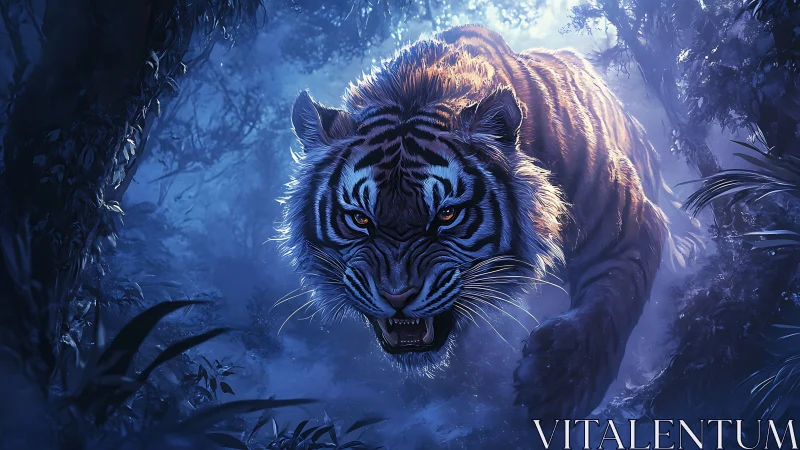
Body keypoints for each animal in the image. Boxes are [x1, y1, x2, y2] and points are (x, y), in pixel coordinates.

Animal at [278, 25, 698, 420]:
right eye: (360, 219)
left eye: (446, 214)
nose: (396, 298)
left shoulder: (628, 225)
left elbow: (612, 297)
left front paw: (557, 383)